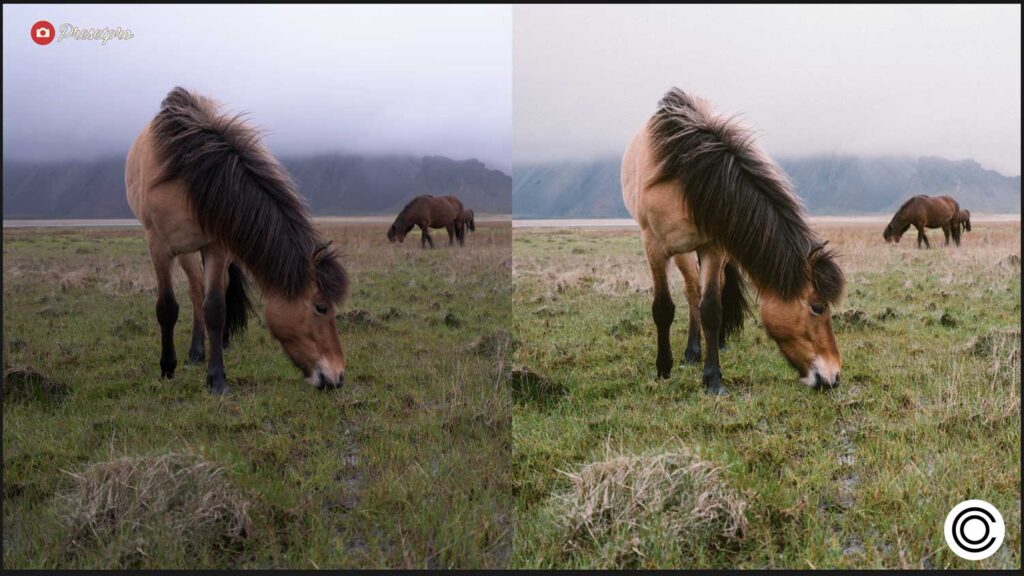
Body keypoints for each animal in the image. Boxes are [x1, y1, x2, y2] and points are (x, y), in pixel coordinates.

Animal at [126, 87, 349, 395]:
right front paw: (167, 368)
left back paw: (217, 344)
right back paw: (194, 353)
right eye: (321, 307)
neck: (191, 178)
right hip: (183, 251)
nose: (338, 376)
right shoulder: (158, 247)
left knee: (210, 292)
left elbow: (216, 307)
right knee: (195, 290)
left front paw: (217, 378)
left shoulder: (218, 246)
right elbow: (167, 308)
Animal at [622, 88, 845, 395]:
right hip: (679, 251)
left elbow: (712, 308)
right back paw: (691, 352)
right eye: (817, 307)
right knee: (691, 291)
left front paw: (713, 378)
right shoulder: (654, 247)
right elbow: (663, 308)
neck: (688, 177)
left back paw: (714, 344)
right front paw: (663, 369)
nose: (834, 376)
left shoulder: (715, 246)